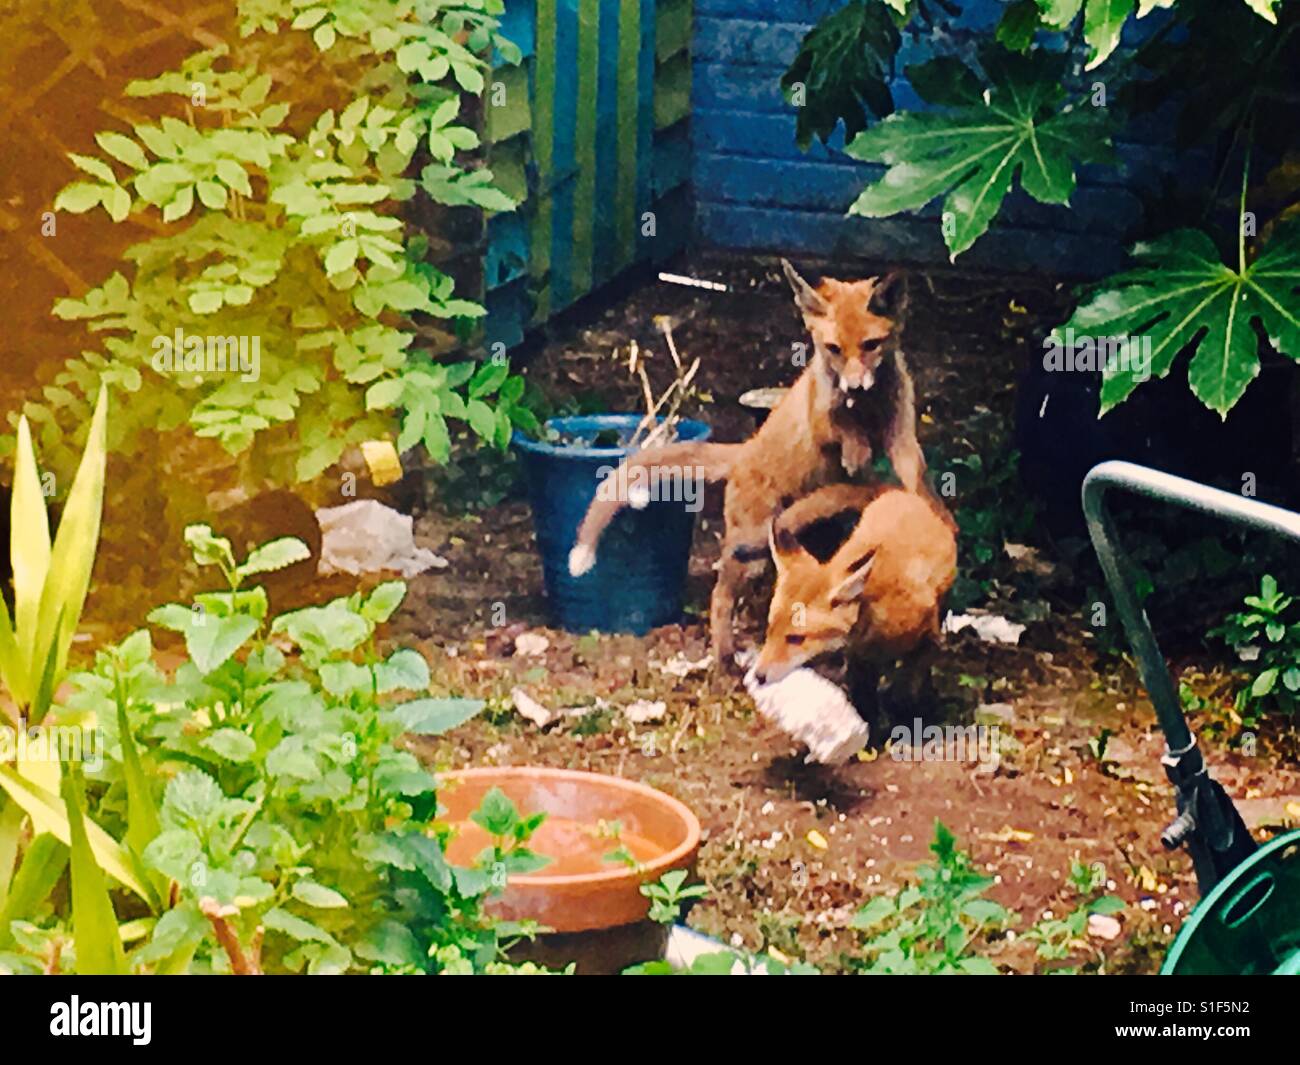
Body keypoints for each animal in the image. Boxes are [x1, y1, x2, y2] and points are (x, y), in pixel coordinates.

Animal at [569, 262, 946, 665]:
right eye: (833, 349)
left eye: (871, 345)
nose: (855, 387)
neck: (869, 408)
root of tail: (745, 450)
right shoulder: (821, 417)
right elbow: (841, 426)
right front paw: (855, 446)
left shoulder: (901, 436)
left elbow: (917, 479)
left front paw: (931, 516)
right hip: (750, 550)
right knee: (720, 594)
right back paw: (724, 657)